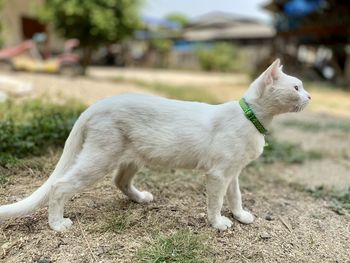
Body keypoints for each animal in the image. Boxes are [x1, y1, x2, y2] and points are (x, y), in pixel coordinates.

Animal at [0, 58, 310, 232]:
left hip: (132, 157)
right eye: (296, 87)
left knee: (119, 181)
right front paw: (218, 223)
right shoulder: (218, 174)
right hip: (99, 158)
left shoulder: (233, 173)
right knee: (59, 186)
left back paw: (141, 198)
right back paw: (57, 225)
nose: (309, 97)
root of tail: (98, 104)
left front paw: (241, 216)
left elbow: (235, 197)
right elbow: (216, 201)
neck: (252, 119)